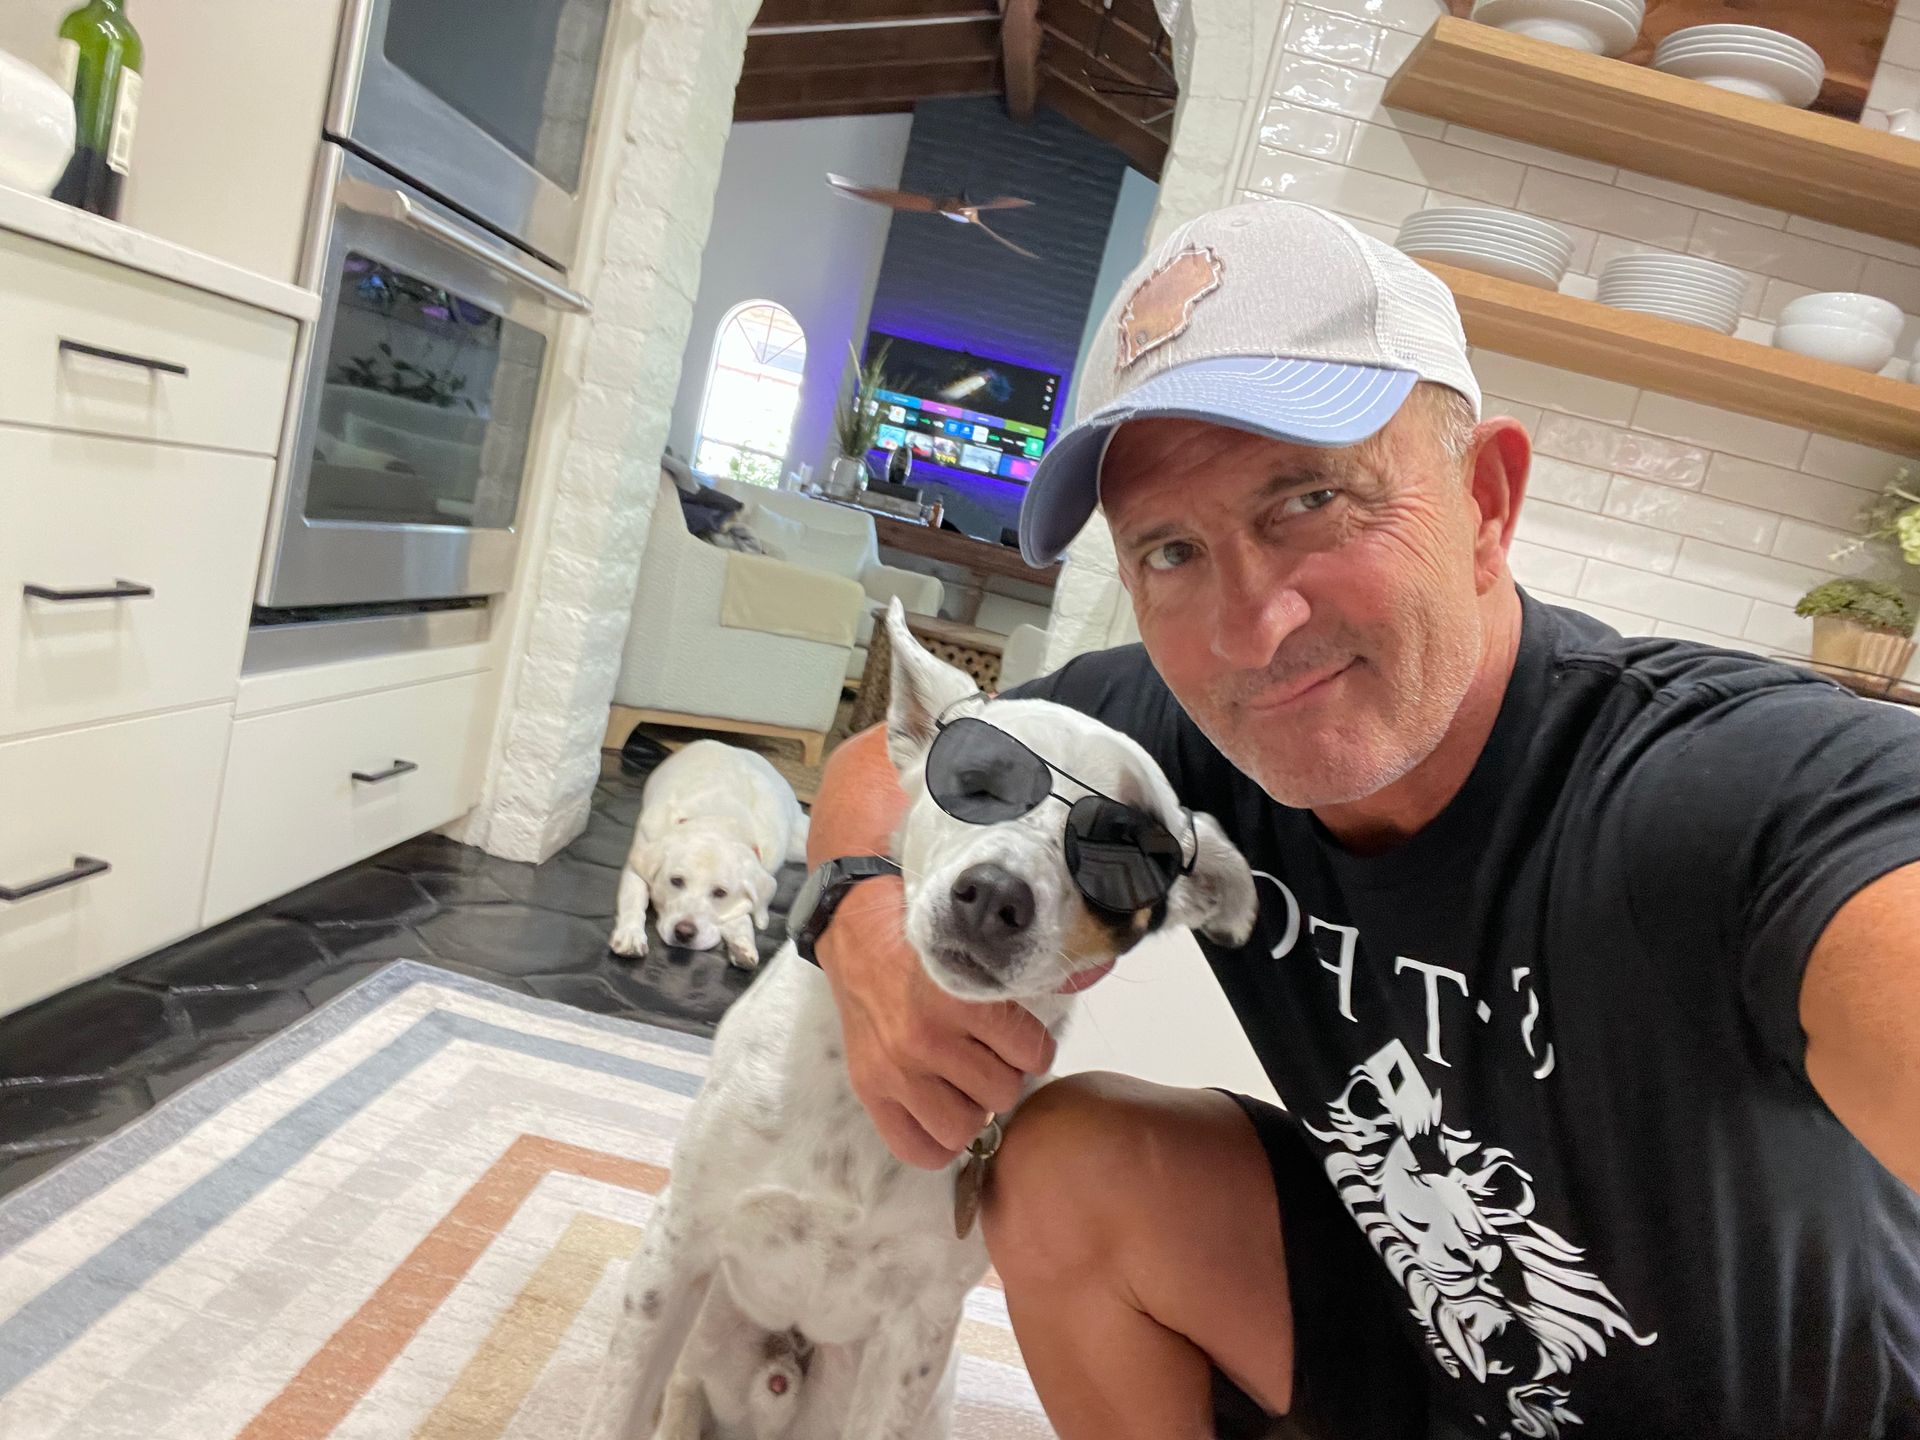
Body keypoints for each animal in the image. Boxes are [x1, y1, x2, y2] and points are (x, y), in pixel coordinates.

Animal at [611, 740, 809, 968]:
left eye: (720, 893)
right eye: (676, 881)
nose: (684, 933)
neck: (719, 818)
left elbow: (743, 915)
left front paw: (742, 944)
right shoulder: (637, 864)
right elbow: (634, 901)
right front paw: (630, 935)